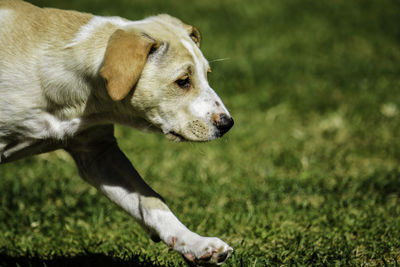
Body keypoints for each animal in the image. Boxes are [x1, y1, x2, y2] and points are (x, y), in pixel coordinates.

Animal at [0, 0, 234, 266]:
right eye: (183, 81)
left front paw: (197, 244)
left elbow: (149, 199)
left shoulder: (98, 152)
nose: (228, 123)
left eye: (207, 75)